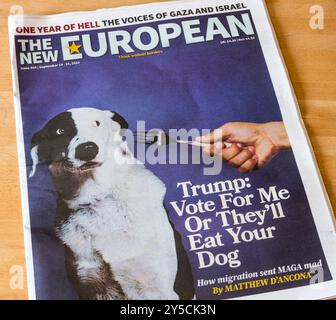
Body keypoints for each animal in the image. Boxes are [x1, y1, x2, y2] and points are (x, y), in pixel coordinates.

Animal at [31, 107, 196, 300]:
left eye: (97, 123)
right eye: (60, 131)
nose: (87, 149)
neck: (99, 196)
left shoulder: (158, 288)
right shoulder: (91, 284)